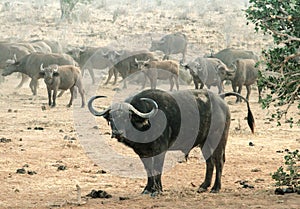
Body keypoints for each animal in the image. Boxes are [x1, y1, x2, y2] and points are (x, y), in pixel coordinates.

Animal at [88, 89, 254, 195]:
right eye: (111, 117)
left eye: (126, 116)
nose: (117, 133)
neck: (146, 123)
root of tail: (220, 99)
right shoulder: (143, 153)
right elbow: (149, 170)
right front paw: (148, 189)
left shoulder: (160, 150)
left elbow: (157, 169)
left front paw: (158, 190)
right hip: (204, 143)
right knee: (209, 162)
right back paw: (203, 186)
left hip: (217, 139)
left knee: (219, 161)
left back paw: (215, 188)